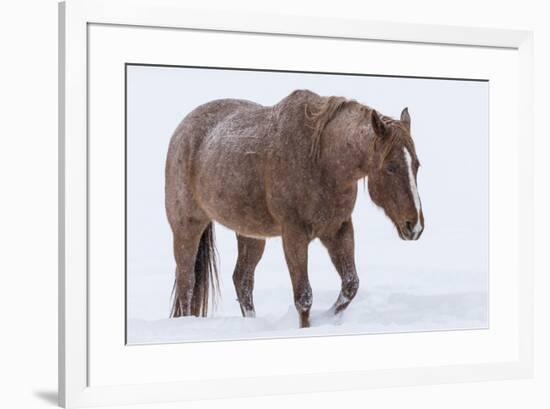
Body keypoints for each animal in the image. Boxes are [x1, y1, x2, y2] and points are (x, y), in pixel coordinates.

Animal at [166, 87, 424, 326]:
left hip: (251, 234)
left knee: (242, 280)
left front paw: (329, 318)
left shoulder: (338, 229)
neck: (322, 162)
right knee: (187, 283)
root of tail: (182, 129)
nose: (415, 226)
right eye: (391, 167)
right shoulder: (294, 234)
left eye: (417, 165)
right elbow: (304, 296)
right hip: (187, 227)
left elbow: (350, 285)